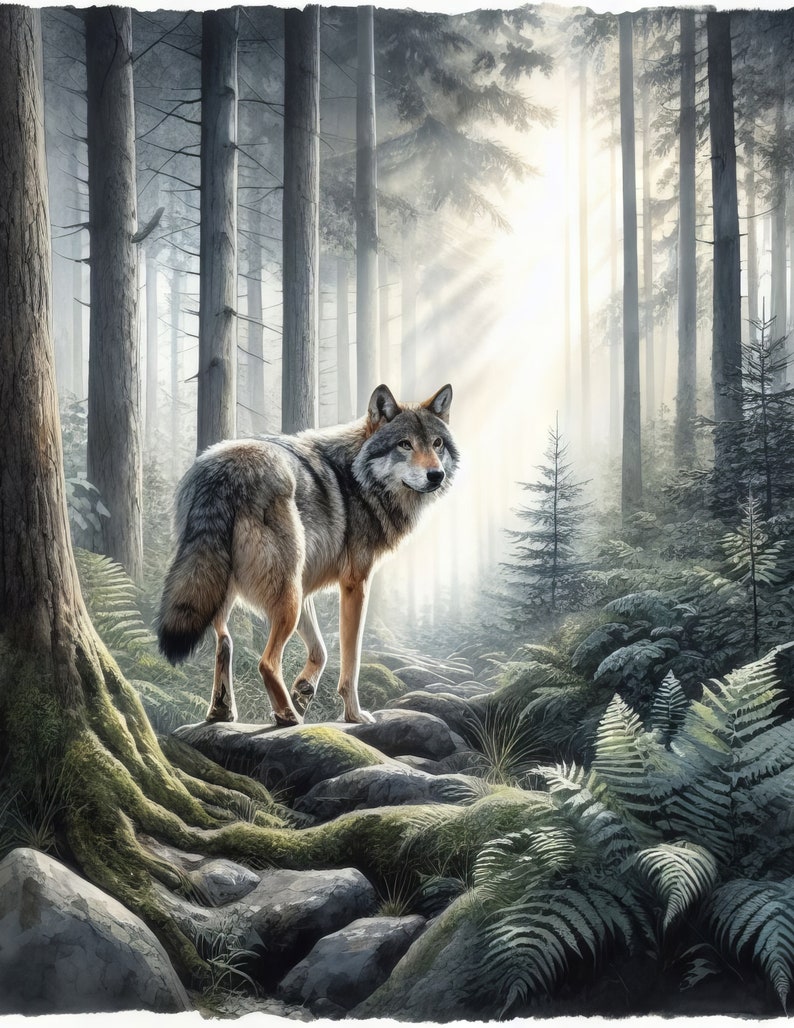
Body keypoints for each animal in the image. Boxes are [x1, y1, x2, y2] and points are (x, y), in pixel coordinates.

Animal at [157, 383, 459, 726]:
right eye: (404, 445)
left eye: (436, 443)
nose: (436, 475)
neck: (358, 479)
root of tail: (226, 469)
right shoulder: (355, 584)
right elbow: (350, 660)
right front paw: (353, 715)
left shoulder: (306, 587)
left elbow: (321, 651)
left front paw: (303, 691)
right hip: (283, 594)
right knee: (266, 662)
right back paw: (287, 716)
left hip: (232, 588)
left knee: (224, 641)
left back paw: (223, 711)